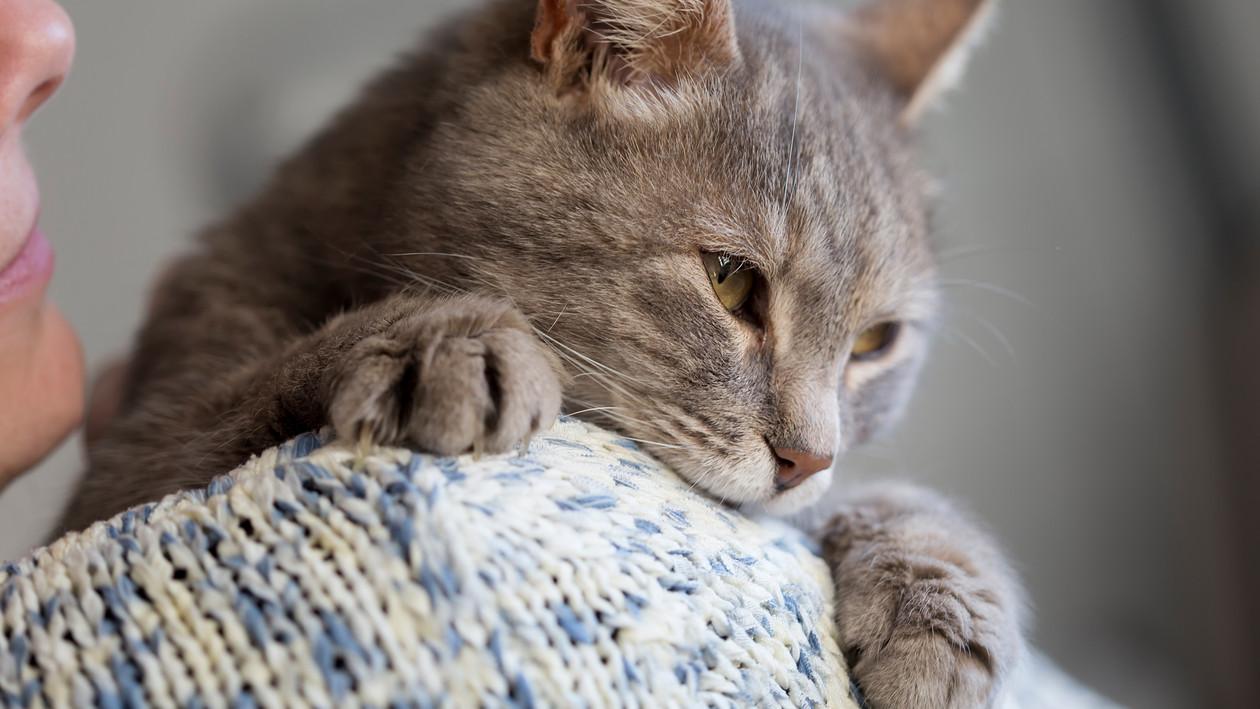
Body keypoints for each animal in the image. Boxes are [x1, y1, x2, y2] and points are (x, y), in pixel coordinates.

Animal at [61, 2, 1023, 705]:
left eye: (875, 341)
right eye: (730, 281)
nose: (806, 458)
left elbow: (874, 500)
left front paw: (939, 590)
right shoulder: (125, 463)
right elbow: (242, 393)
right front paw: (435, 336)